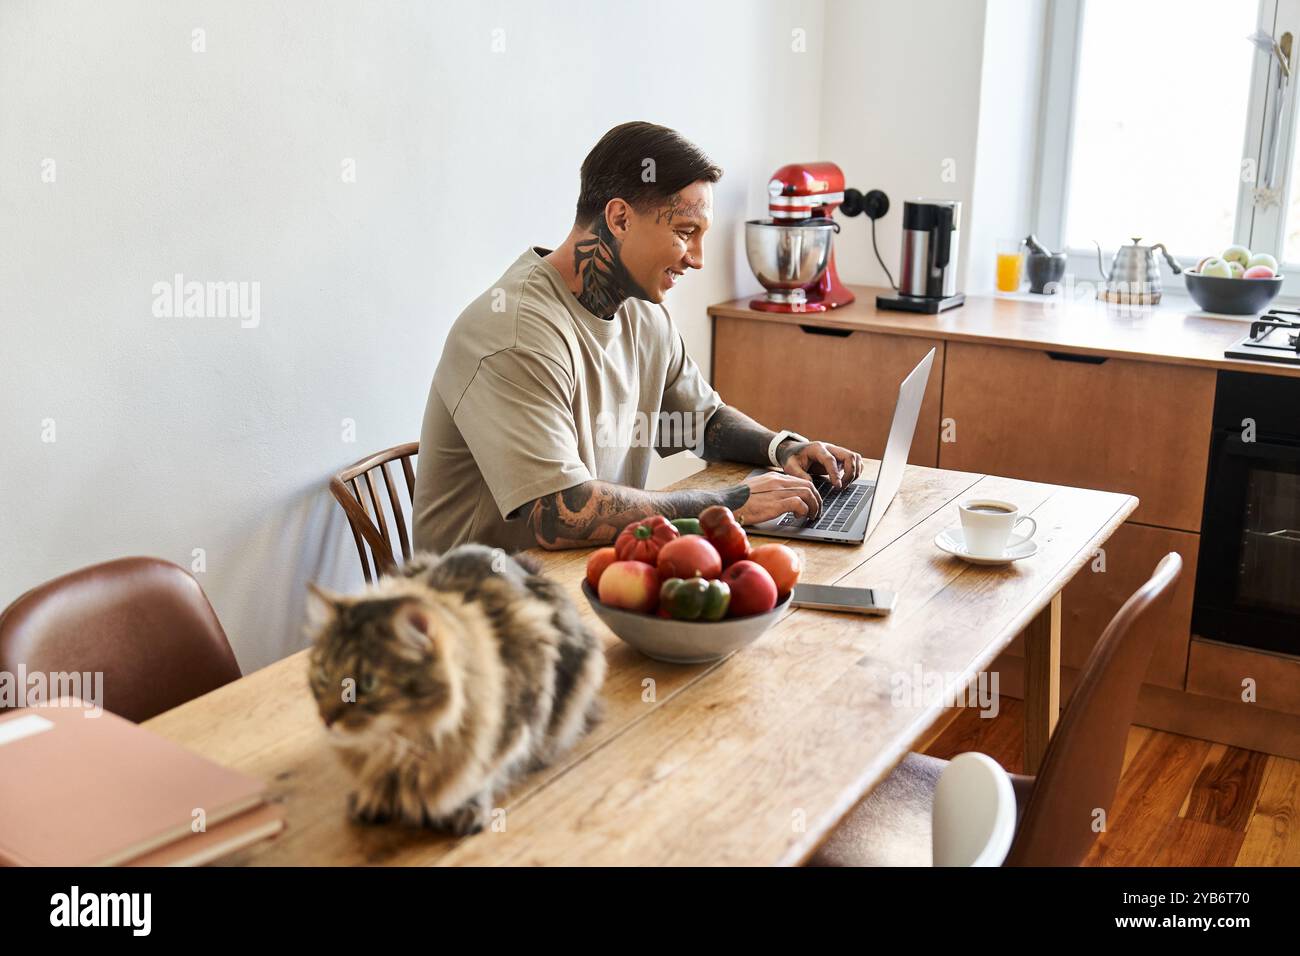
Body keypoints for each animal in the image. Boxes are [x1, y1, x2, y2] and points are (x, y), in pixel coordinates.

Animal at [306, 546, 605, 837]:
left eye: (368, 683)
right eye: (323, 675)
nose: (325, 719)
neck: (402, 743)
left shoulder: (523, 710)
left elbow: (485, 771)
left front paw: (467, 807)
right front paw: (373, 796)